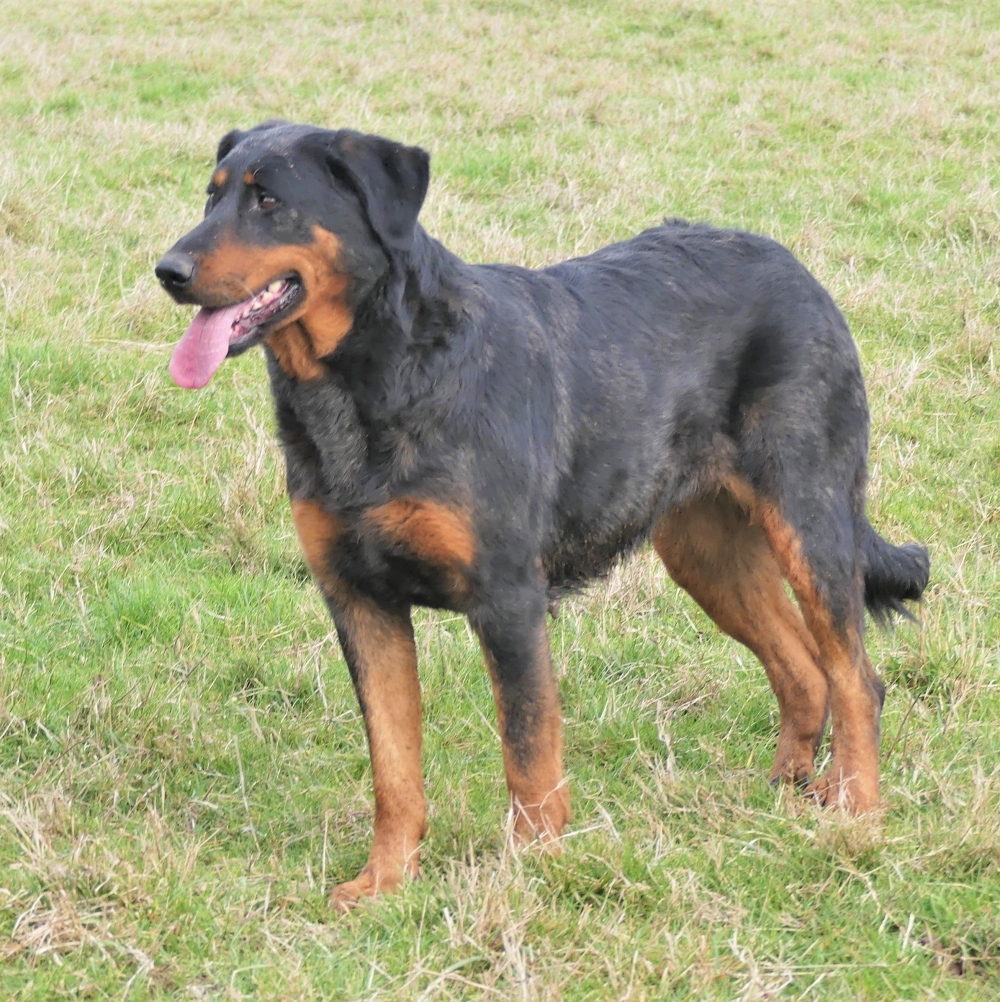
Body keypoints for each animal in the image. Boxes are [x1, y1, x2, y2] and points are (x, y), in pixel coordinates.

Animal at [154, 117, 929, 909]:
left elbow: (527, 754)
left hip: (809, 523)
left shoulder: (508, 601)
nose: (168, 271)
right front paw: (385, 882)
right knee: (805, 672)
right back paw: (787, 793)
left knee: (857, 680)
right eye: (212, 196)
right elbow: (394, 769)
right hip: (705, 553)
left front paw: (530, 873)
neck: (381, 376)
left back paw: (857, 815)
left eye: (269, 201)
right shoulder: (360, 603)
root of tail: (798, 270)